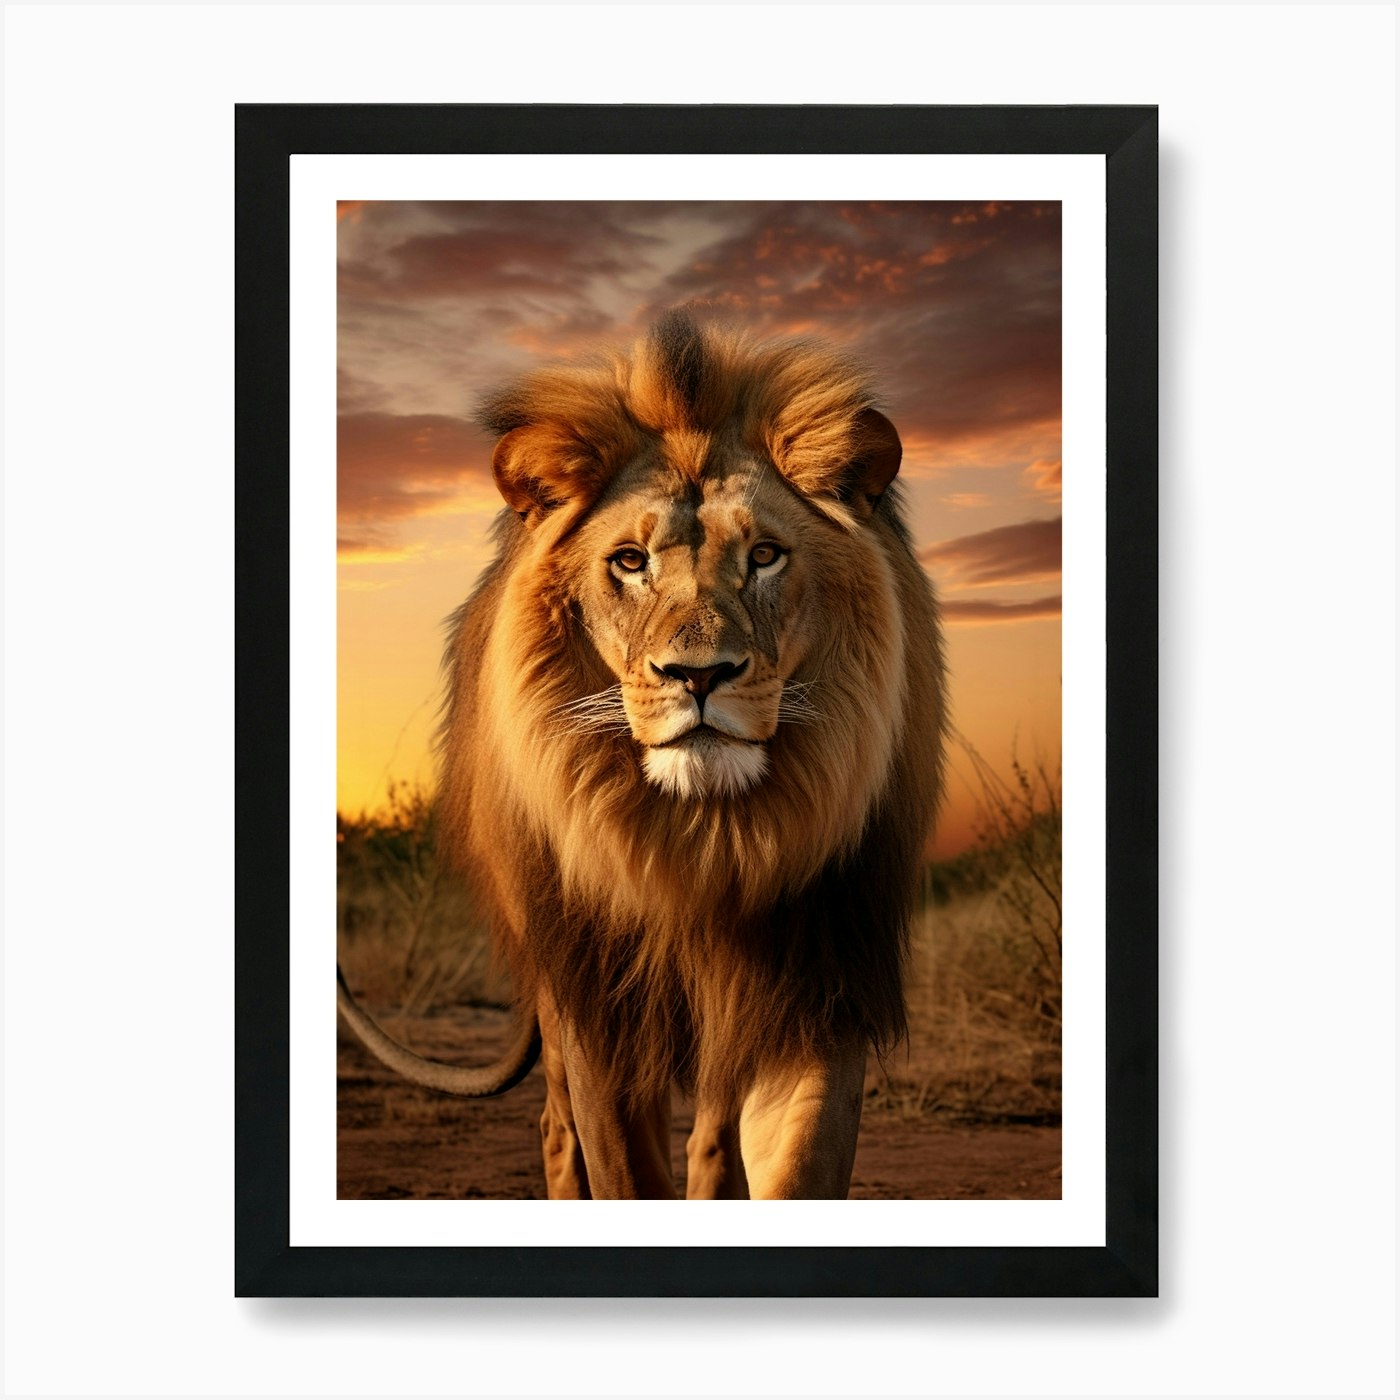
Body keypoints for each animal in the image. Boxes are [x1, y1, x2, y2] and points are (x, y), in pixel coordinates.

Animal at [337, 310, 947, 1199]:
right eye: (630, 561)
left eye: (765, 555)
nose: (699, 675)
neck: (704, 846)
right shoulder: (599, 1013)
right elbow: (622, 1168)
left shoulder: (818, 987)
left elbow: (796, 1164)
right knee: (558, 1130)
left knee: (714, 1135)